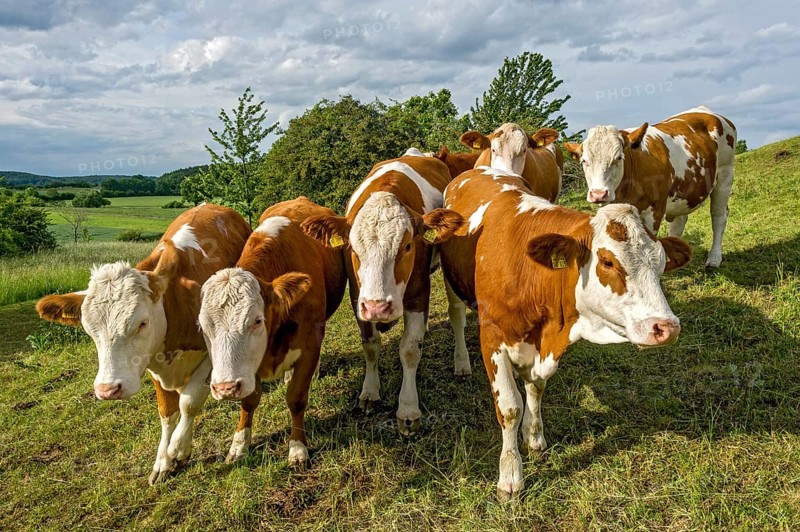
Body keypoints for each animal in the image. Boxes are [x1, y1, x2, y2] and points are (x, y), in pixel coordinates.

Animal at [35, 204, 251, 484]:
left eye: (141, 323)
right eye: (90, 330)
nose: (108, 389)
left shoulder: (210, 357)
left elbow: (189, 402)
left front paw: (177, 450)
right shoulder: (151, 364)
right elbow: (167, 412)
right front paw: (162, 461)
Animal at [197, 197, 347, 468]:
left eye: (257, 321)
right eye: (203, 326)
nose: (225, 388)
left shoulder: (310, 345)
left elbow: (296, 398)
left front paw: (297, 448)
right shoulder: (249, 365)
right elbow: (248, 401)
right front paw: (239, 445)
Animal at [301, 153, 465, 436]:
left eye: (407, 246)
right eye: (352, 249)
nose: (378, 307)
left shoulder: (418, 295)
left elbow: (409, 349)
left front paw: (408, 410)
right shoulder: (358, 298)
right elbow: (371, 346)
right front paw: (369, 392)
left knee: (456, 314)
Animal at [439, 168, 692, 501]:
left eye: (661, 263)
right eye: (607, 262)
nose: (667, 327)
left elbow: (535, 390)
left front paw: (534, 435)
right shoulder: (492, 340)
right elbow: (510, 407)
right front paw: (510, 476)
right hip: (451, 283)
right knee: (456, 317)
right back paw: (461, 363)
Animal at [564, 106, 736, 268]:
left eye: (618, 158)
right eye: (584, 161)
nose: (599, 194)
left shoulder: (654, 211)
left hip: (724, 176)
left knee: (719, 216)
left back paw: (714, 258)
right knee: (679, 221)